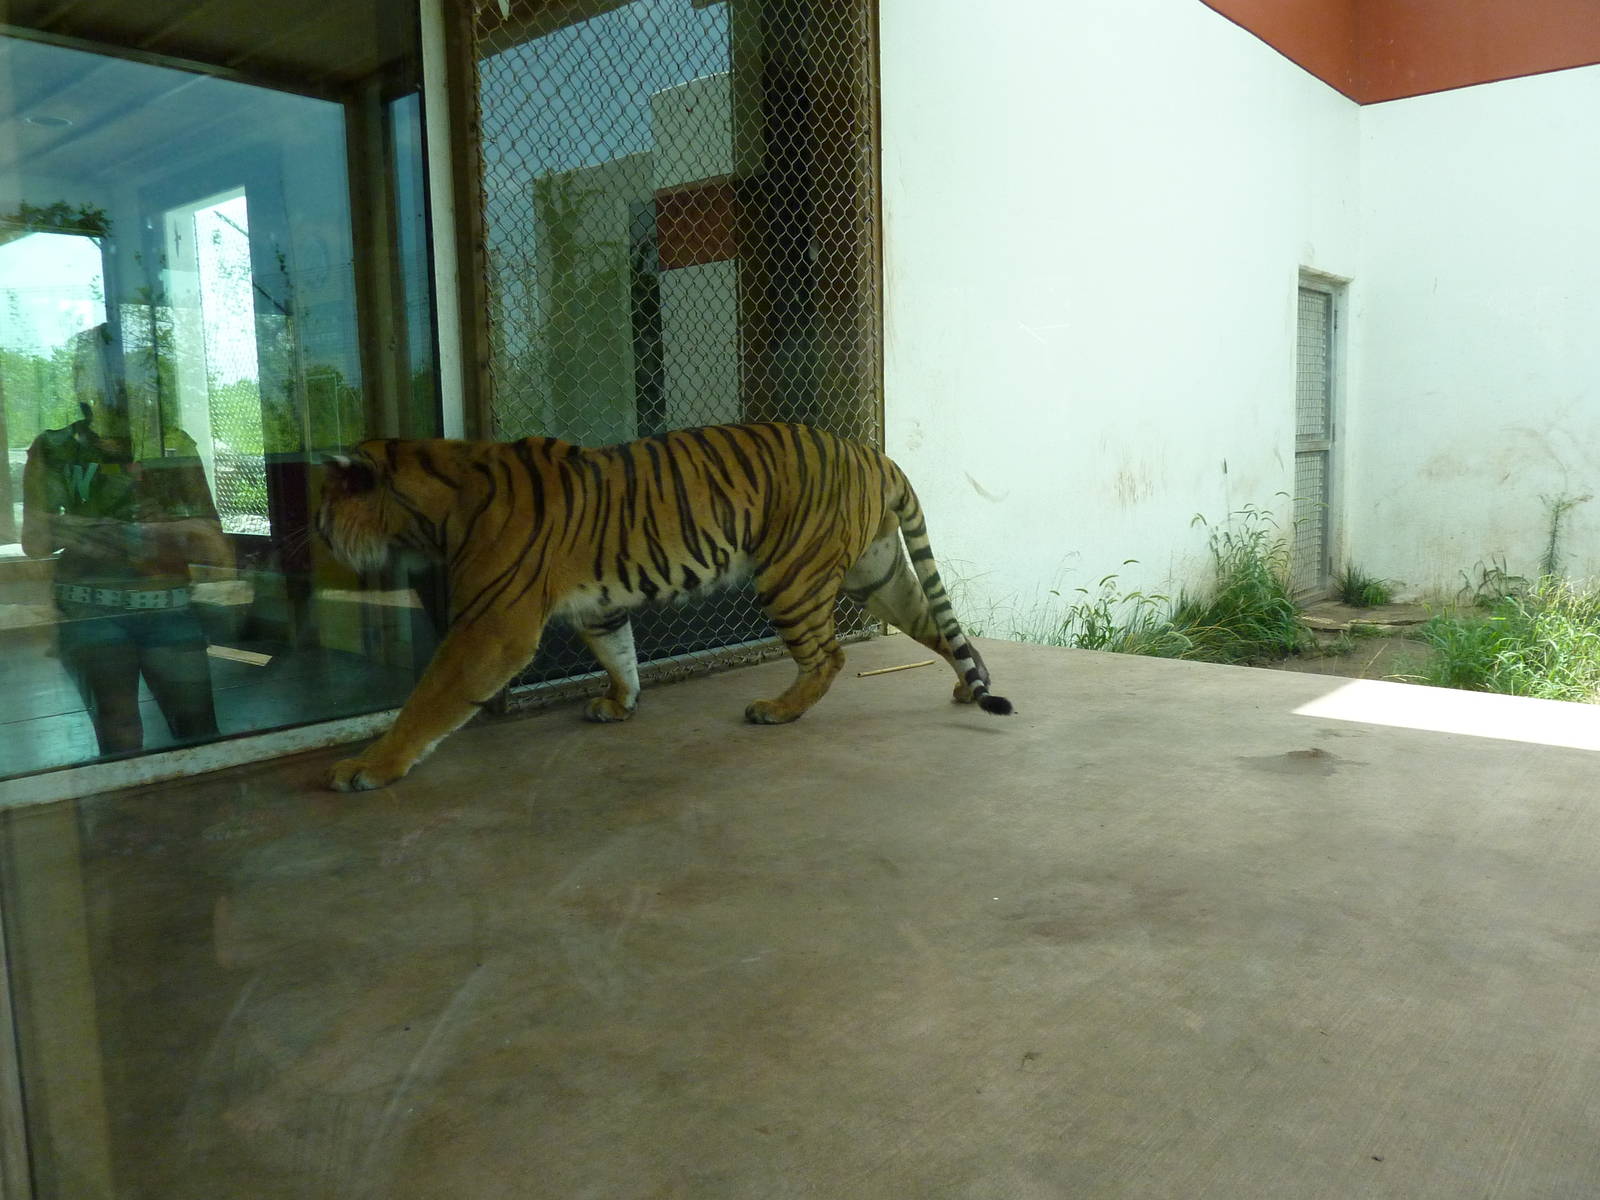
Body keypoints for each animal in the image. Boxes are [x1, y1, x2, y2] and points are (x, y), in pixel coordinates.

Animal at [315, 422, 1011, 791]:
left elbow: (429, 700)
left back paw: (777, 710)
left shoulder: (492, 626)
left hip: (791, 575)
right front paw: (619, 704)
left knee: (829, 656)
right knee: (940, 626)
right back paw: (967, 683)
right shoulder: (597, 608)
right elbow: (618, 654)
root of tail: (872, 452)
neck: (431, 505)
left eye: (324, 506)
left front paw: (369, 766)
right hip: (878, 575)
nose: (317, 536)